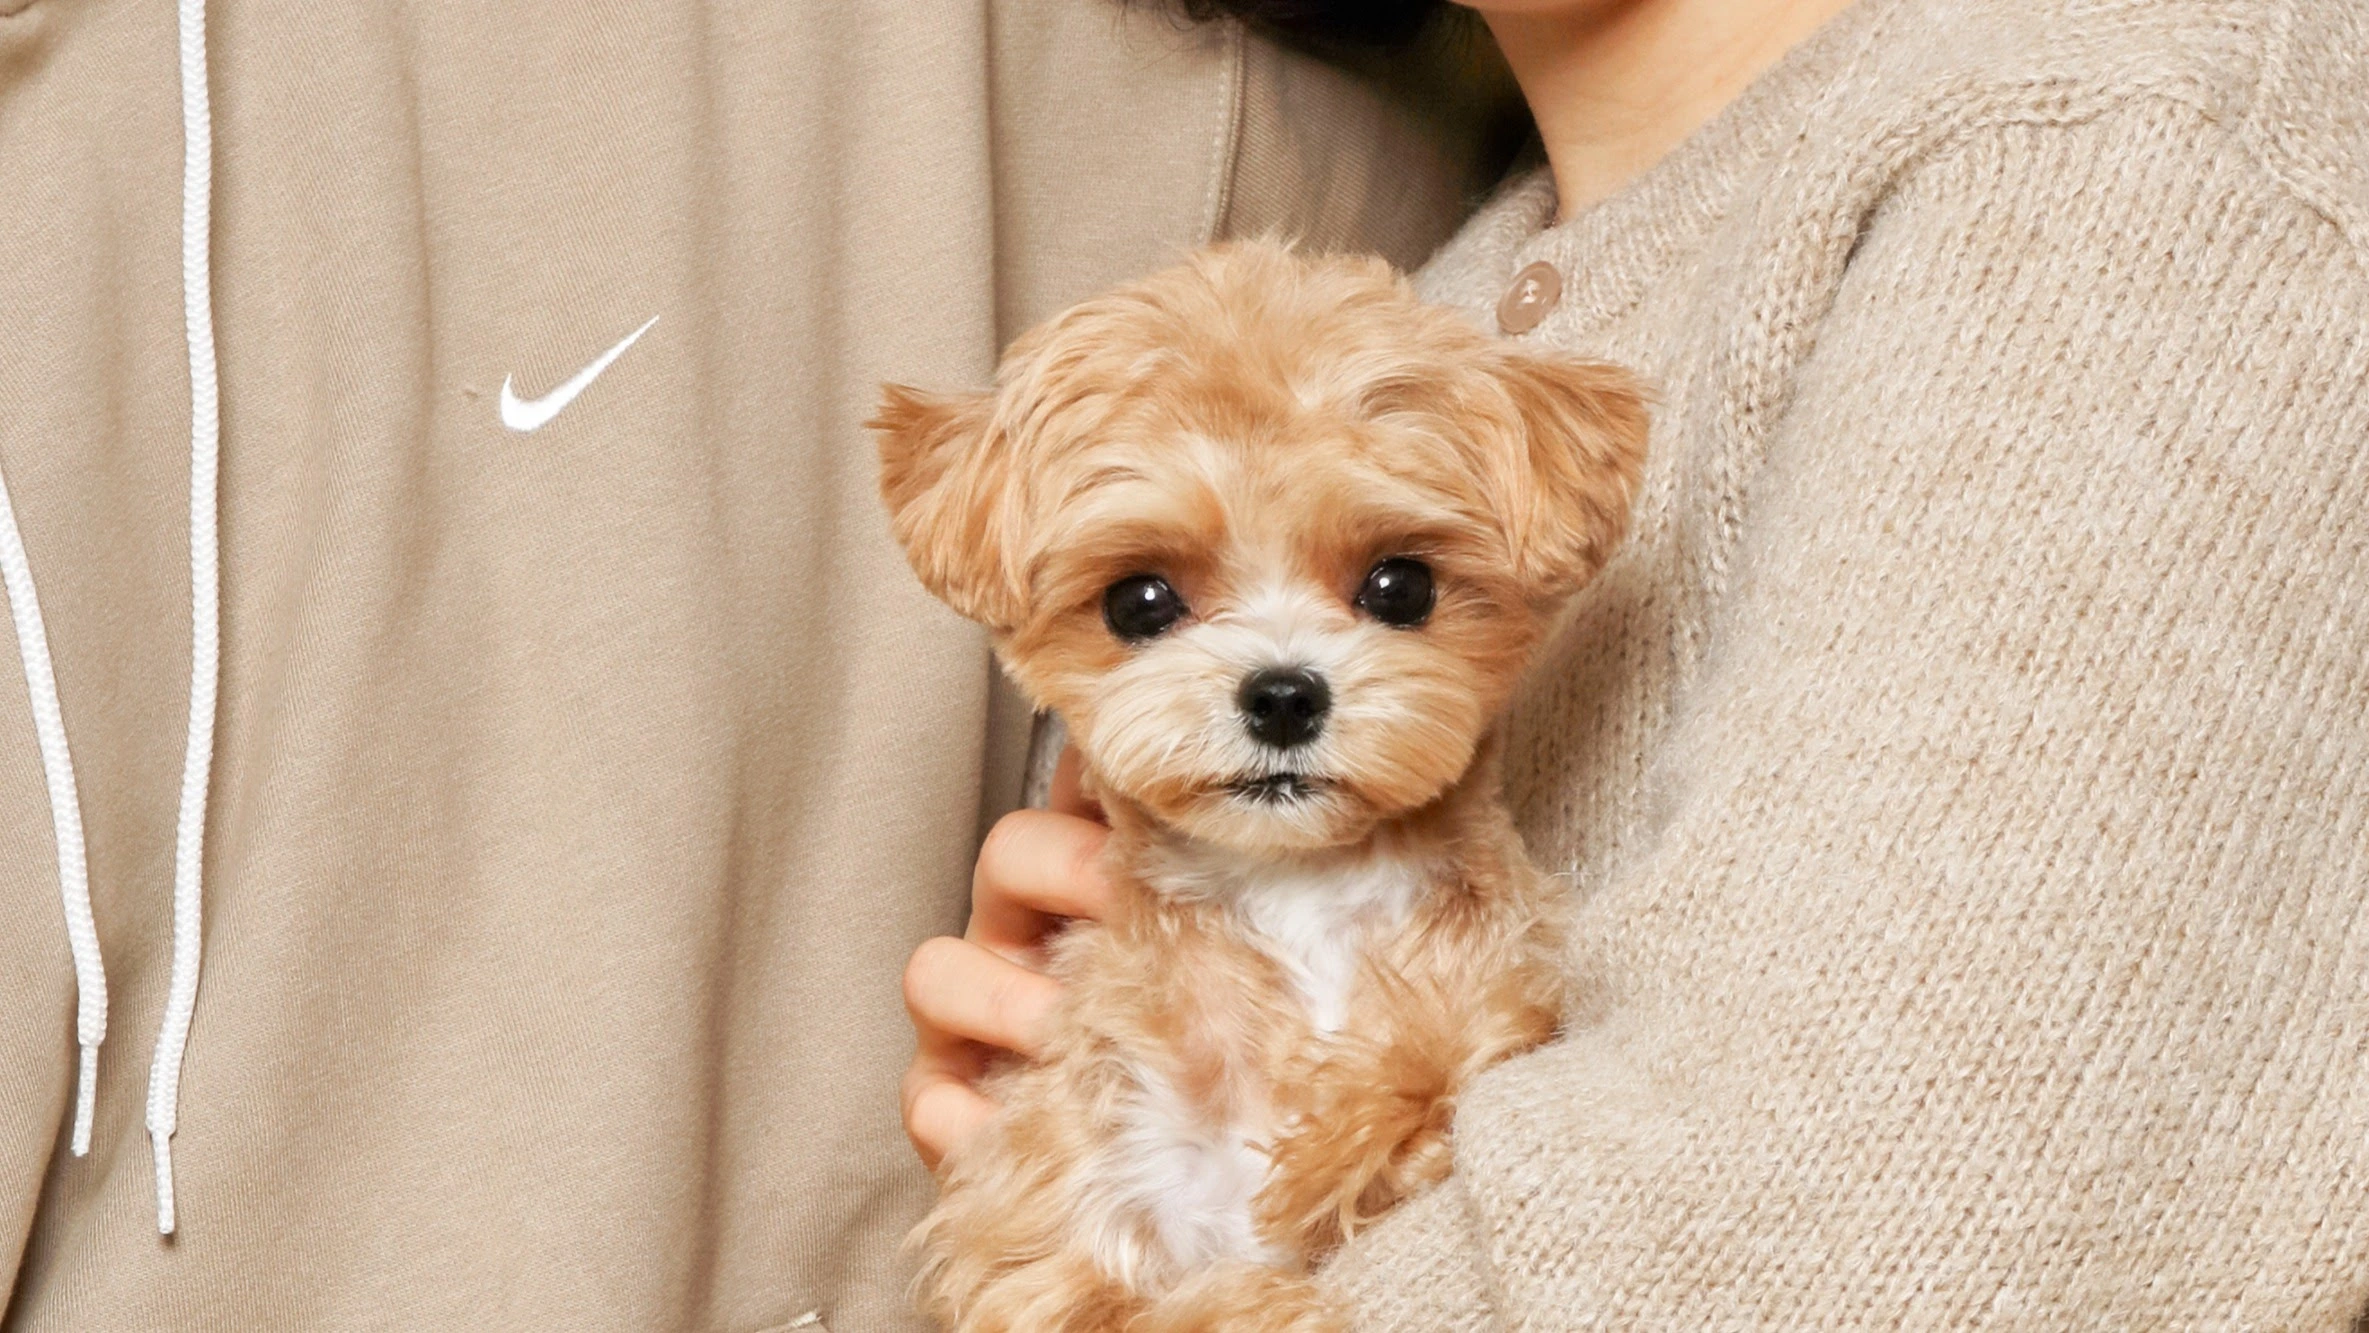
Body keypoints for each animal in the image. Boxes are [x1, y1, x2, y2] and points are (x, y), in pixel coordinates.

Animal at [873, 241, 1647, 1331]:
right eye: (1139, 600)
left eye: (1399, 585)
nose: (1282, 694)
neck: (1298, 897)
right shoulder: (1051, 1208)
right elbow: (1119, 1299)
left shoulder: (1501, 985)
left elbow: (1447, 1054)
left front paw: (1339, 1142)